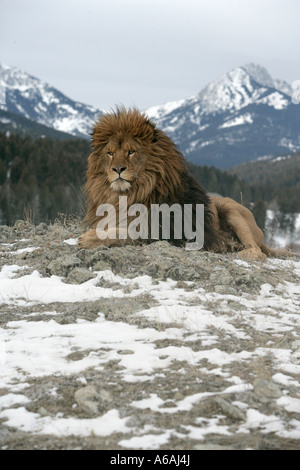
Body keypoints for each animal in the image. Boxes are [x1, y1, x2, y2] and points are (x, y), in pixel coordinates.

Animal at [78, 106, 282, 260]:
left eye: (131, 152)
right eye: (110, 153)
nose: (117, 169)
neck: (128, 193)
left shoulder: (162, 231)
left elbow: (125, 233)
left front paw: (89, 238)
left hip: (233, 211)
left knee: (258, 252)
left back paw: (240, 252)